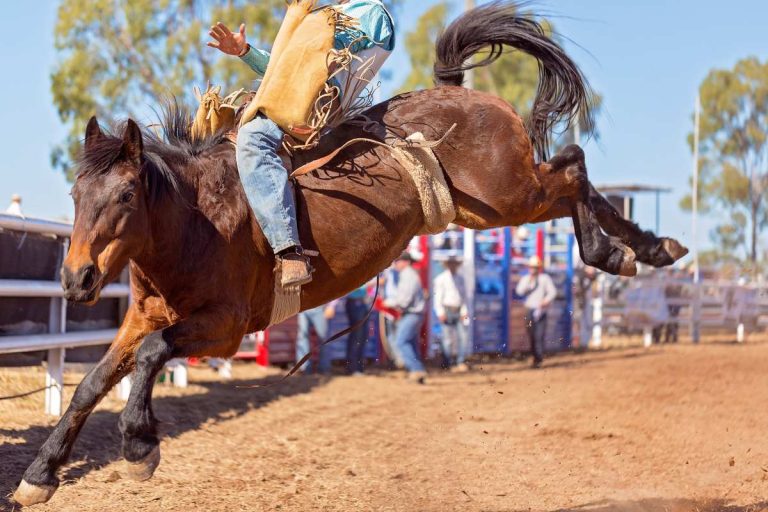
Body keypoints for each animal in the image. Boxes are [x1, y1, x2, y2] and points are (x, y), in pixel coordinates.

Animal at [12, 3, 688, 508]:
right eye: (75, 194)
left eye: (126, 194)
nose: (76, 278)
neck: (196, 220)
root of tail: (461, 93)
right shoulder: (142, 316)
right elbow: (91, 382)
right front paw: (39, 476)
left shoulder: (223, 327)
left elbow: (151, 358)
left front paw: (138, 448)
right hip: (488, 208)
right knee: (573, 169)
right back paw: (651, 248)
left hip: (511, 193)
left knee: (572, 168)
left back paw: (623, 251)